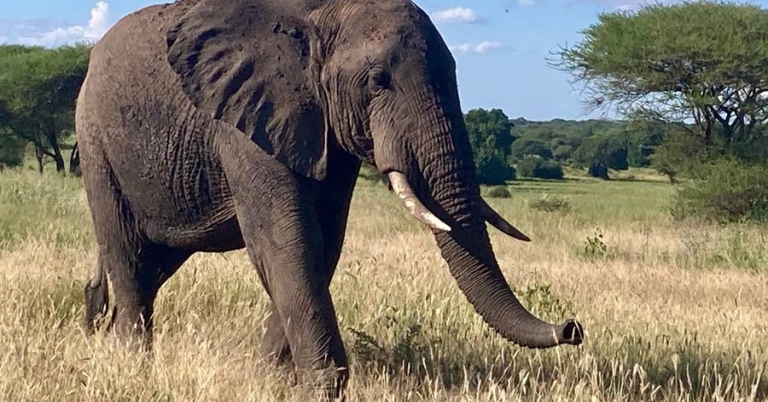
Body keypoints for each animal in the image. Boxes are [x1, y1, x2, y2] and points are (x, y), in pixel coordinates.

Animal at [75, 0, 584, 398]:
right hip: (95, 138)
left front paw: (271, 380)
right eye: (378, 80)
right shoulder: (247, 119)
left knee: (153, 264)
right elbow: (286, 242)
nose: (572, 328)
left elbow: (324, 242)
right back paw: (130, 362)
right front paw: (322, 387)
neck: (318, 15)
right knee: (128, 256)